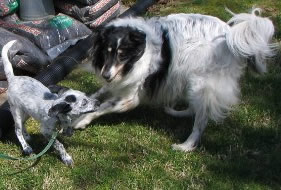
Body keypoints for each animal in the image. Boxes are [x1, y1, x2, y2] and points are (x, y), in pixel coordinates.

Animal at [72, 8, 276, 151]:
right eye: (107, 52)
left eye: (122, 55)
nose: (105, 75)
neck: (140, 51)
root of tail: (229, 35)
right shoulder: (118, 80)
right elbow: (98, 94)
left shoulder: (130, 96)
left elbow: (103, 106)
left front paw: (81, 121)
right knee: (197, 108)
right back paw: (176, 112)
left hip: (200, 81)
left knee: (201, 118)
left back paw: (186, 146)